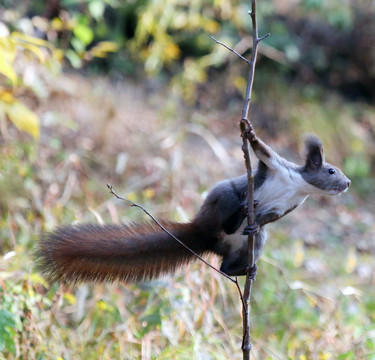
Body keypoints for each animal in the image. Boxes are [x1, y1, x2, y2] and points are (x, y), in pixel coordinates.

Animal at [36, 126, 352, 284]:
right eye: (331, 171)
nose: (348, 183)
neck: (298, 186)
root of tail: (204, 234)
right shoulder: (275, 167)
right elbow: (262, 150)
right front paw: (249, 132)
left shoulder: (290, 205)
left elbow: (272, 217)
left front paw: (260, 220)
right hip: (223, 196)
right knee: (230, 214)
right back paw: (238, 216)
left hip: (246, 245)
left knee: (227, 264)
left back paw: (243, 268)